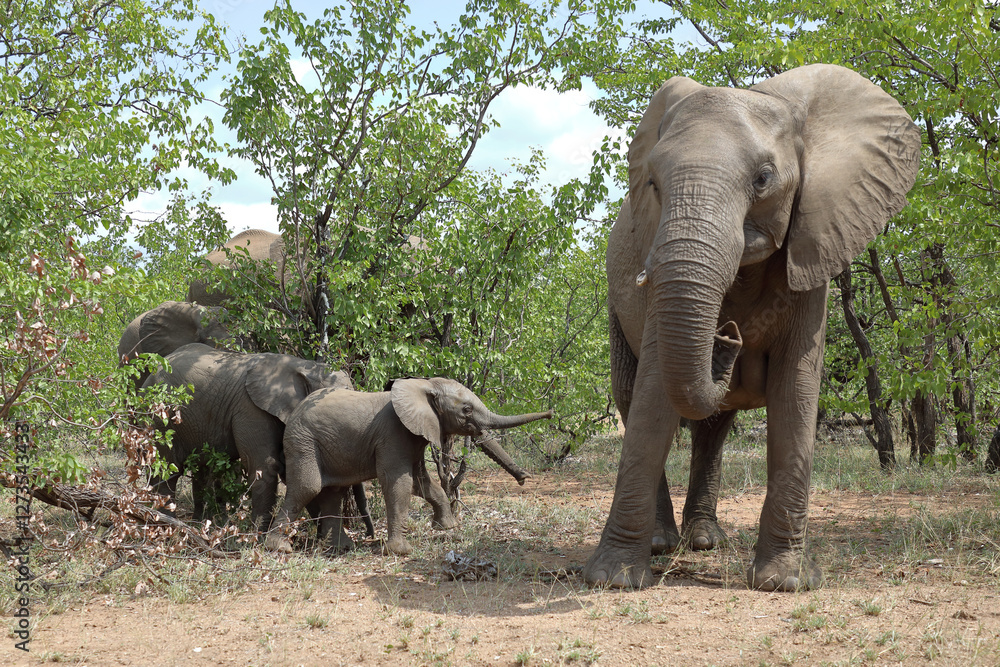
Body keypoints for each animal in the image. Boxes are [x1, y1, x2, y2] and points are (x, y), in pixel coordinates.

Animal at [141, 342, 355, 529]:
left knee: (201, 470)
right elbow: (266, 467)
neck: (305, 366)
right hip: (160, 418)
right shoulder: (251, 408)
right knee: (167, 468)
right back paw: (166, 524)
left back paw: (201, 523)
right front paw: (259, 536)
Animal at [265, 378, 552, 555]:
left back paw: (341, 548)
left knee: (331, 493)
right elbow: (398, 482)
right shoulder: (394, 433)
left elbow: (422, 482)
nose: (524, 478)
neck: (424, 386)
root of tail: (295, 411)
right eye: (467, 410)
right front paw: (400, 552)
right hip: (304, 441)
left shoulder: (414, 435)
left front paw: (448, 528)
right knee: (308, 487)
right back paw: (278, 547)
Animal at [584, 64, 921, 591]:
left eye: (763, 179)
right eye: (653, 183)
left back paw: (705, 541)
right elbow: (653, 393)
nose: (726, 337)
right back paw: (665, 543)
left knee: (714, 424)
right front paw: (614, 580)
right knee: (630, 392)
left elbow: (795, 392)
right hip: (616, 309)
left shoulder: (814, 249)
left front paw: (783, 582)